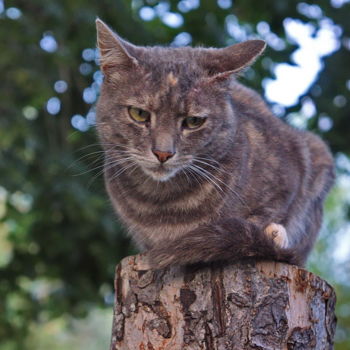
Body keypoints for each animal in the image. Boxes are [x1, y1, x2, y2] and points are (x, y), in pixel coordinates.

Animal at [94, 19, 334, 270]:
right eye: (139, 114)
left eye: (193, 121)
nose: (163, 153)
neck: (162, 203)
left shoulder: (292, 174)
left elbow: (266, 217)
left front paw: (271, 234)